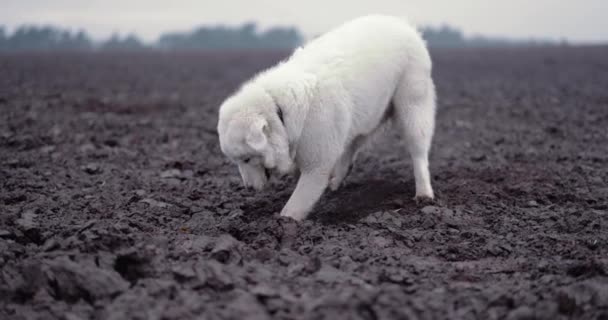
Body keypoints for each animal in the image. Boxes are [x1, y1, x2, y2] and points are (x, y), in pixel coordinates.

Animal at [216, 14, 434, 220]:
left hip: (412, 108)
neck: (280, 111)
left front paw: (283, 223)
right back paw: (337, 181)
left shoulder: (316, 165)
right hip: (362, 117)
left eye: (246, 159)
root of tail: (402, 23)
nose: (248, 189)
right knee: (351, 147)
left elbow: (295, 204)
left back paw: (424, 193)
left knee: (418, 153)